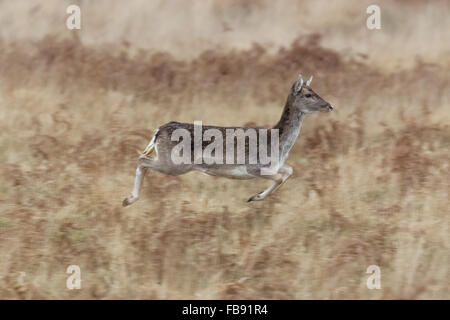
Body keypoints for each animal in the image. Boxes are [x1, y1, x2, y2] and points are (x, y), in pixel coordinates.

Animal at [121, 74, 332, 206]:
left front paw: (255, 196)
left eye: (314, 90)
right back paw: (129, 200)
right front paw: (254, 197)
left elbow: (289, 171)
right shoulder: (254, 167)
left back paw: (128, 199)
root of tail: (158, 130)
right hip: (174, 163)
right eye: (308, 94)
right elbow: (280, 177)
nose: (329, 106)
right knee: (142, 160)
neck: (279, 144)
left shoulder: (276, 165)